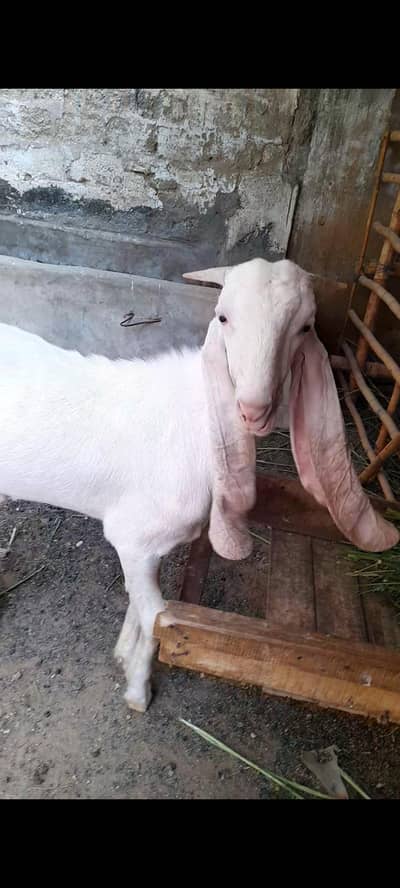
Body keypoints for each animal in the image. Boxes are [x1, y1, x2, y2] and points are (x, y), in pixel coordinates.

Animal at [0, 258, 398, 712]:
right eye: (222, 317)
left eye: (305, 326)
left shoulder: (148, 547)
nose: (253, 410)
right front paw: (139, 692)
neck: (196, 418)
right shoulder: (132, 537)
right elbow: (154, 615)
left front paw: (123, 654)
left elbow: (140, 607)